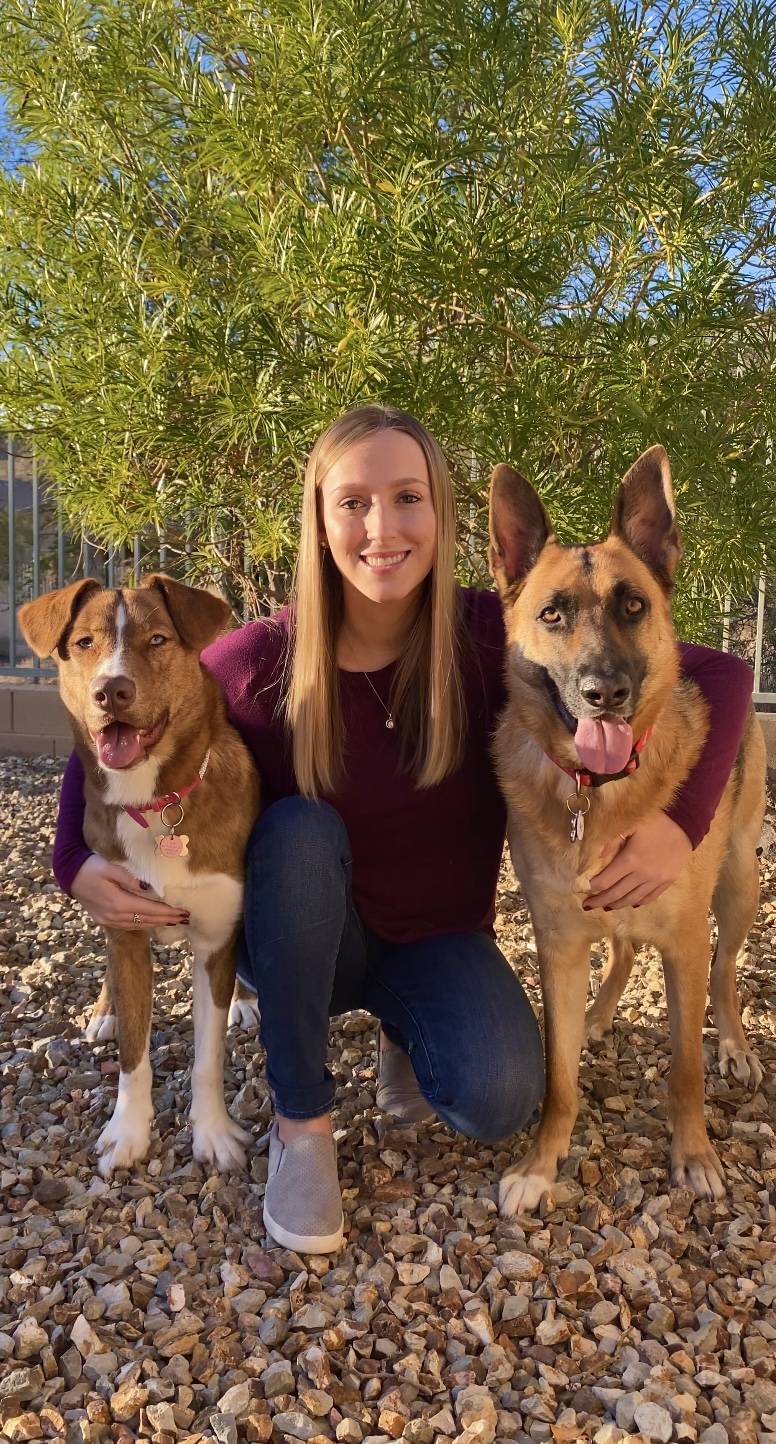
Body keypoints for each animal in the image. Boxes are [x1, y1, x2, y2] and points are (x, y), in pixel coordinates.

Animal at [17, 571, 260, 1172]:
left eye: (157, 640)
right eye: (84, 643)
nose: (112, 691)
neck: (154, 802)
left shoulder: (217, 937)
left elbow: (208, 1056)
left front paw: (213, 1133)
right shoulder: (124, 924)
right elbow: (134, 1052)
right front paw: (127, 1132)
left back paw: (245, 1001)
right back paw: (104, 1011)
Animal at [491, 444, 762, 1212]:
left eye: (634, 605)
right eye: (552, 613)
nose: (604, 692)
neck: (598, 793)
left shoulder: (684, 944)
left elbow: (685, 1069)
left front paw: (694, 1154)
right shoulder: (557, 945)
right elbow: (557, 1078)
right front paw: (541, 1163)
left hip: (738, 884)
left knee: (725, 972)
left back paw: (735, 1043)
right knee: (622, 949)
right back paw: (603, 1011)